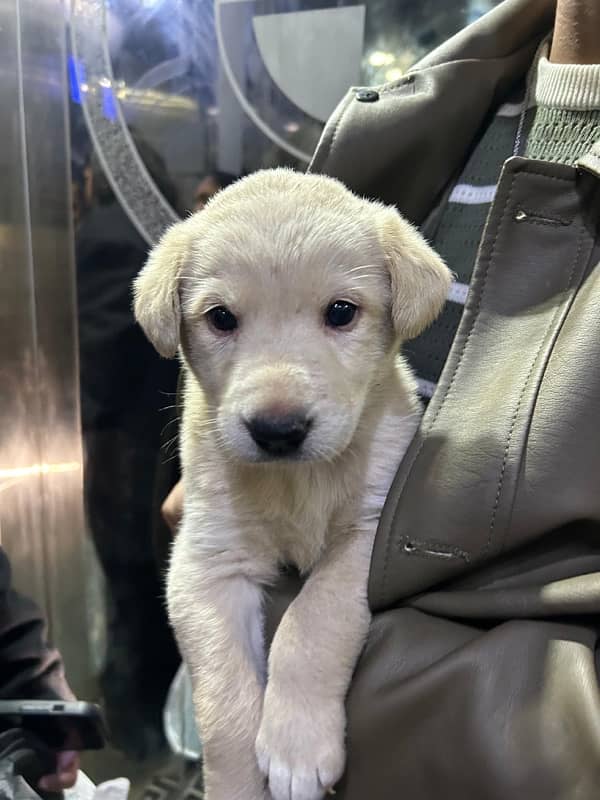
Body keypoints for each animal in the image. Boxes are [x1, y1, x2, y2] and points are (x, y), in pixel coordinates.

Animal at [132, 169, 450, 800]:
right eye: (221, 318)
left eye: (342, 311)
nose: (277, 430)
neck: (294, 482)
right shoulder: (206, 565)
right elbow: (223, 698)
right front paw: (237, 784)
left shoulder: (370, 533)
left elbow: (312, 619)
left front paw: (296, 748)